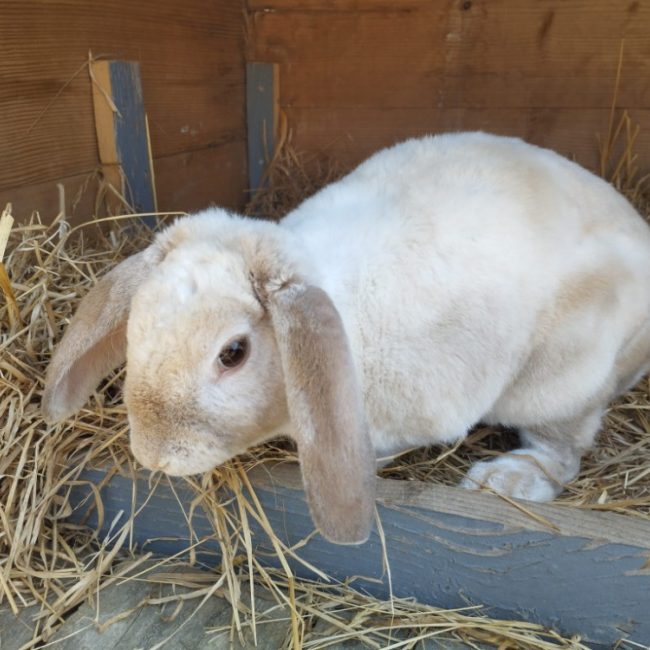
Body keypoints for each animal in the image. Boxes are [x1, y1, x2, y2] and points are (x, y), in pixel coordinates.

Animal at [42, 131, 650, 545]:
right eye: (137, 327)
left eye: (233, 353)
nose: (153, 455)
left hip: (560, 382)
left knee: (561, 454)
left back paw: (500, 481)